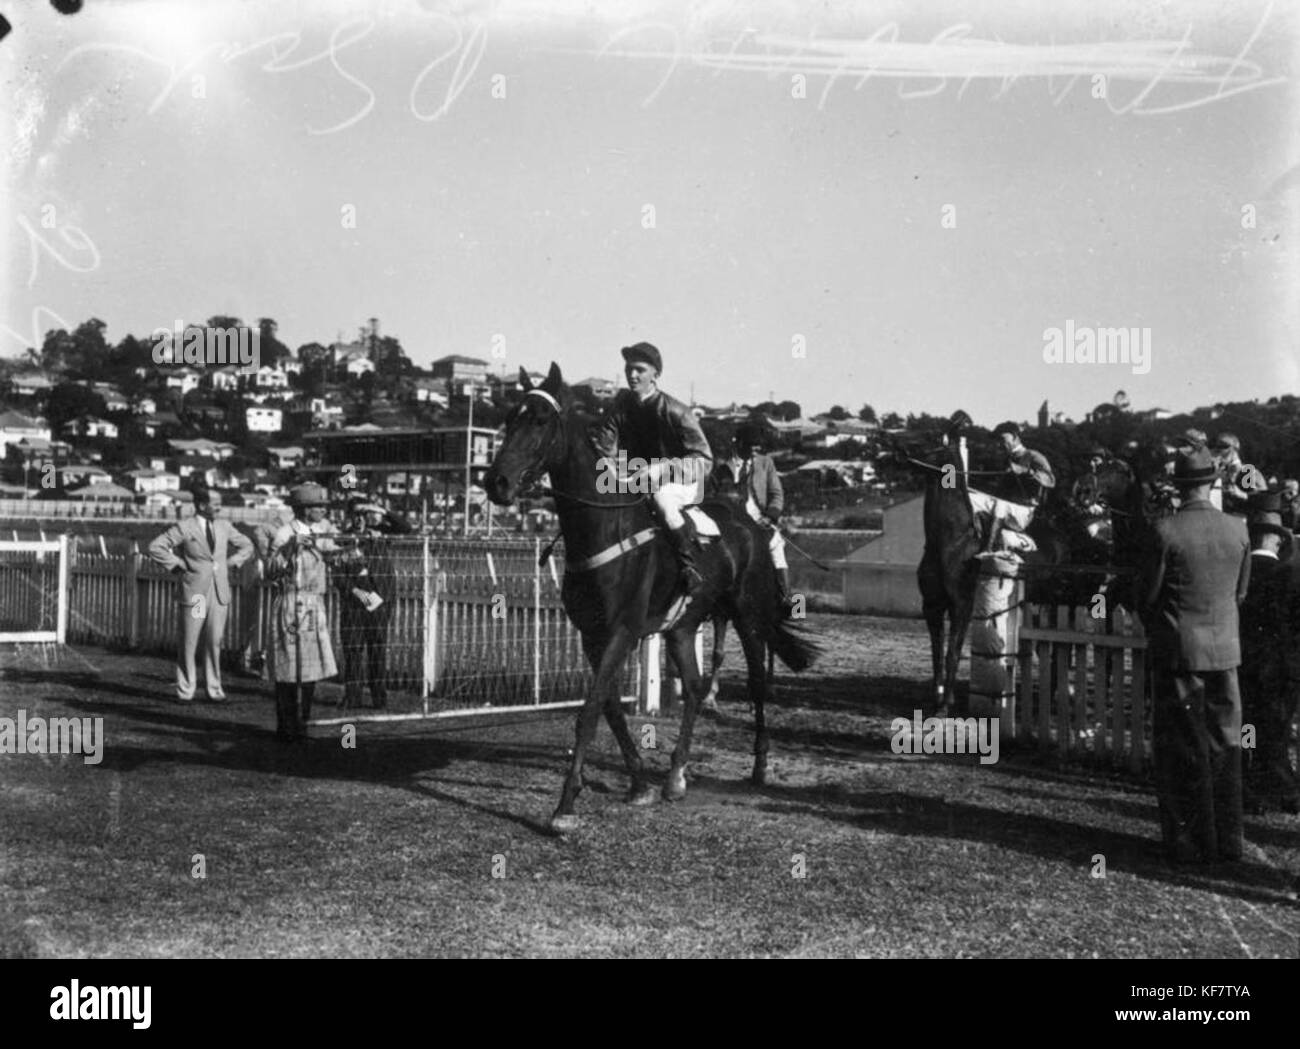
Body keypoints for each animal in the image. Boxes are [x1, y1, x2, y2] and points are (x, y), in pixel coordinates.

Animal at [483, 363, 816, 831]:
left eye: (541, 420)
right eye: (511, 417)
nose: (495, 482)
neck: (604, 530)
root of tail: (750, 522)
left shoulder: (622, 632)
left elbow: (589, 711)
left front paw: (565, 805)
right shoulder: (592, 635)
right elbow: (610, 708)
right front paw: (640, 783)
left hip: (747, 616)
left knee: (756, 684)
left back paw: (759, 765)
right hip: (682, 627)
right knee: (693, 688)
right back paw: (675, 777)